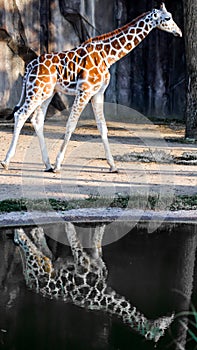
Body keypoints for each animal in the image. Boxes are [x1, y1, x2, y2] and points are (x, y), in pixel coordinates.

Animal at [1, 2, 182, 172]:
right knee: (20, 115)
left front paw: (113, 166)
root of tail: (29, 67)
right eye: (167, 18)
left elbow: (102, 127)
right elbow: (71, 124)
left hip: (47, 92)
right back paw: (7, 162)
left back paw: (47, 164)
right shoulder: (84, 91)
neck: (107, 56)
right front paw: (59, 164)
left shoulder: (98, 93)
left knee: (36, 119)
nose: (179, 32)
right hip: (36, 91)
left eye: (172, 16)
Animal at [14, 224, 174, 342]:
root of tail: (28, 278)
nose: (171, 315)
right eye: (161, 330)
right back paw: (20, 230)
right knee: (24, 241)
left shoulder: (87, 258)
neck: (105, 295)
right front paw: (69, 223)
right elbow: (76, 241)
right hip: (39, 265)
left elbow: (95, 240)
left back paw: (35, 231)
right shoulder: (82, 264)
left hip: (46, 262)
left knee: (38, 245)